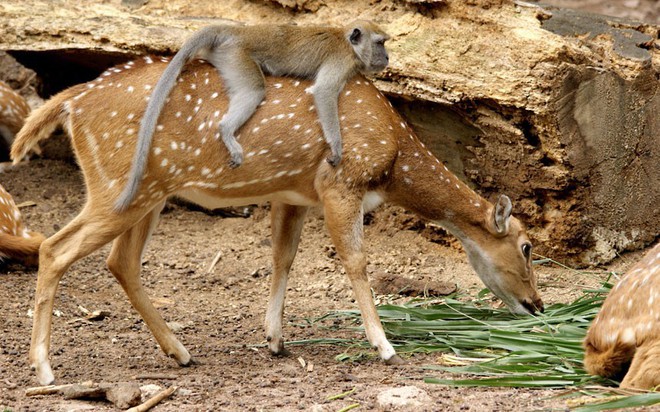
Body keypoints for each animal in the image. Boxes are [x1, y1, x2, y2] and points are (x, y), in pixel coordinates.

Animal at [11, 55, 540, 386]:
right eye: (527, 247)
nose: (536, 305)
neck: (393, 157)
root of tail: (71, 101)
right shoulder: (339, 182)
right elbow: (355, 261)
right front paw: (385, 346)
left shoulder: (295, 194)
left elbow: (283, 258)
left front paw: (275, 340)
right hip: (119, 185)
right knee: (54, 247)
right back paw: (45, 370)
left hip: (148, 193)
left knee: (120, 261)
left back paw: (180, 352)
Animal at [115, 18, 390, 211]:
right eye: (380, 43)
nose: (387, 57)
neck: (349, 44)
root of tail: (239, 32)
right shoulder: (341, 61)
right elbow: (323, 92)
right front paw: (336, 147)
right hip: (237, 56)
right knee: (254, 90)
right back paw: (226, 131)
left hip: (225, 58)